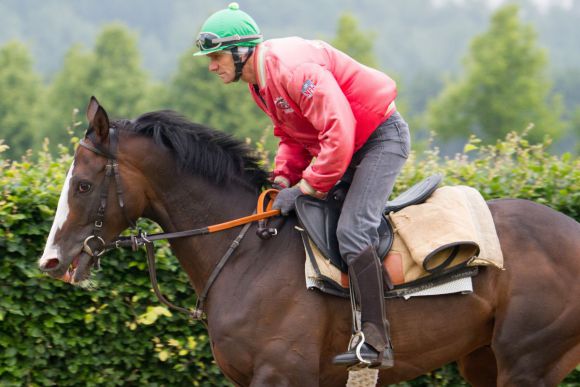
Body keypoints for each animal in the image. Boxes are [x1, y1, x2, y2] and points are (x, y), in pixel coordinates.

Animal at [38, 98, 576, 387]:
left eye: (82, 185)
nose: (51, 261)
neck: (247, 253)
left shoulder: (280, 374)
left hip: (526, 361)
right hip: (483, 359)